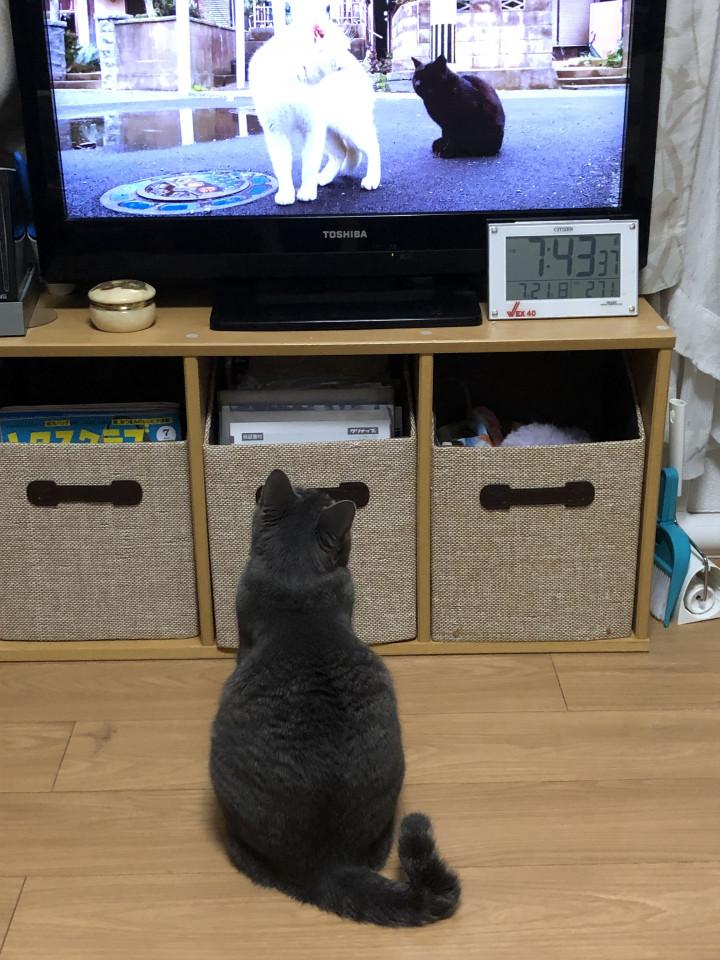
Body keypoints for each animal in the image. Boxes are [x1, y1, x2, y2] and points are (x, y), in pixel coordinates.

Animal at [249, 12, 381, 205]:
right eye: (344, 48)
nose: (352, 58)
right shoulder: (276, 131)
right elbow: (282, 165)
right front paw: (286, 193)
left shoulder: (313, 127)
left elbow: (309, 164)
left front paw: (307, 192)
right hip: (330, 132)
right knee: (343, 152)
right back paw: (325, 177)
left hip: (351, 125)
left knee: (372, 148)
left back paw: (372, 179)